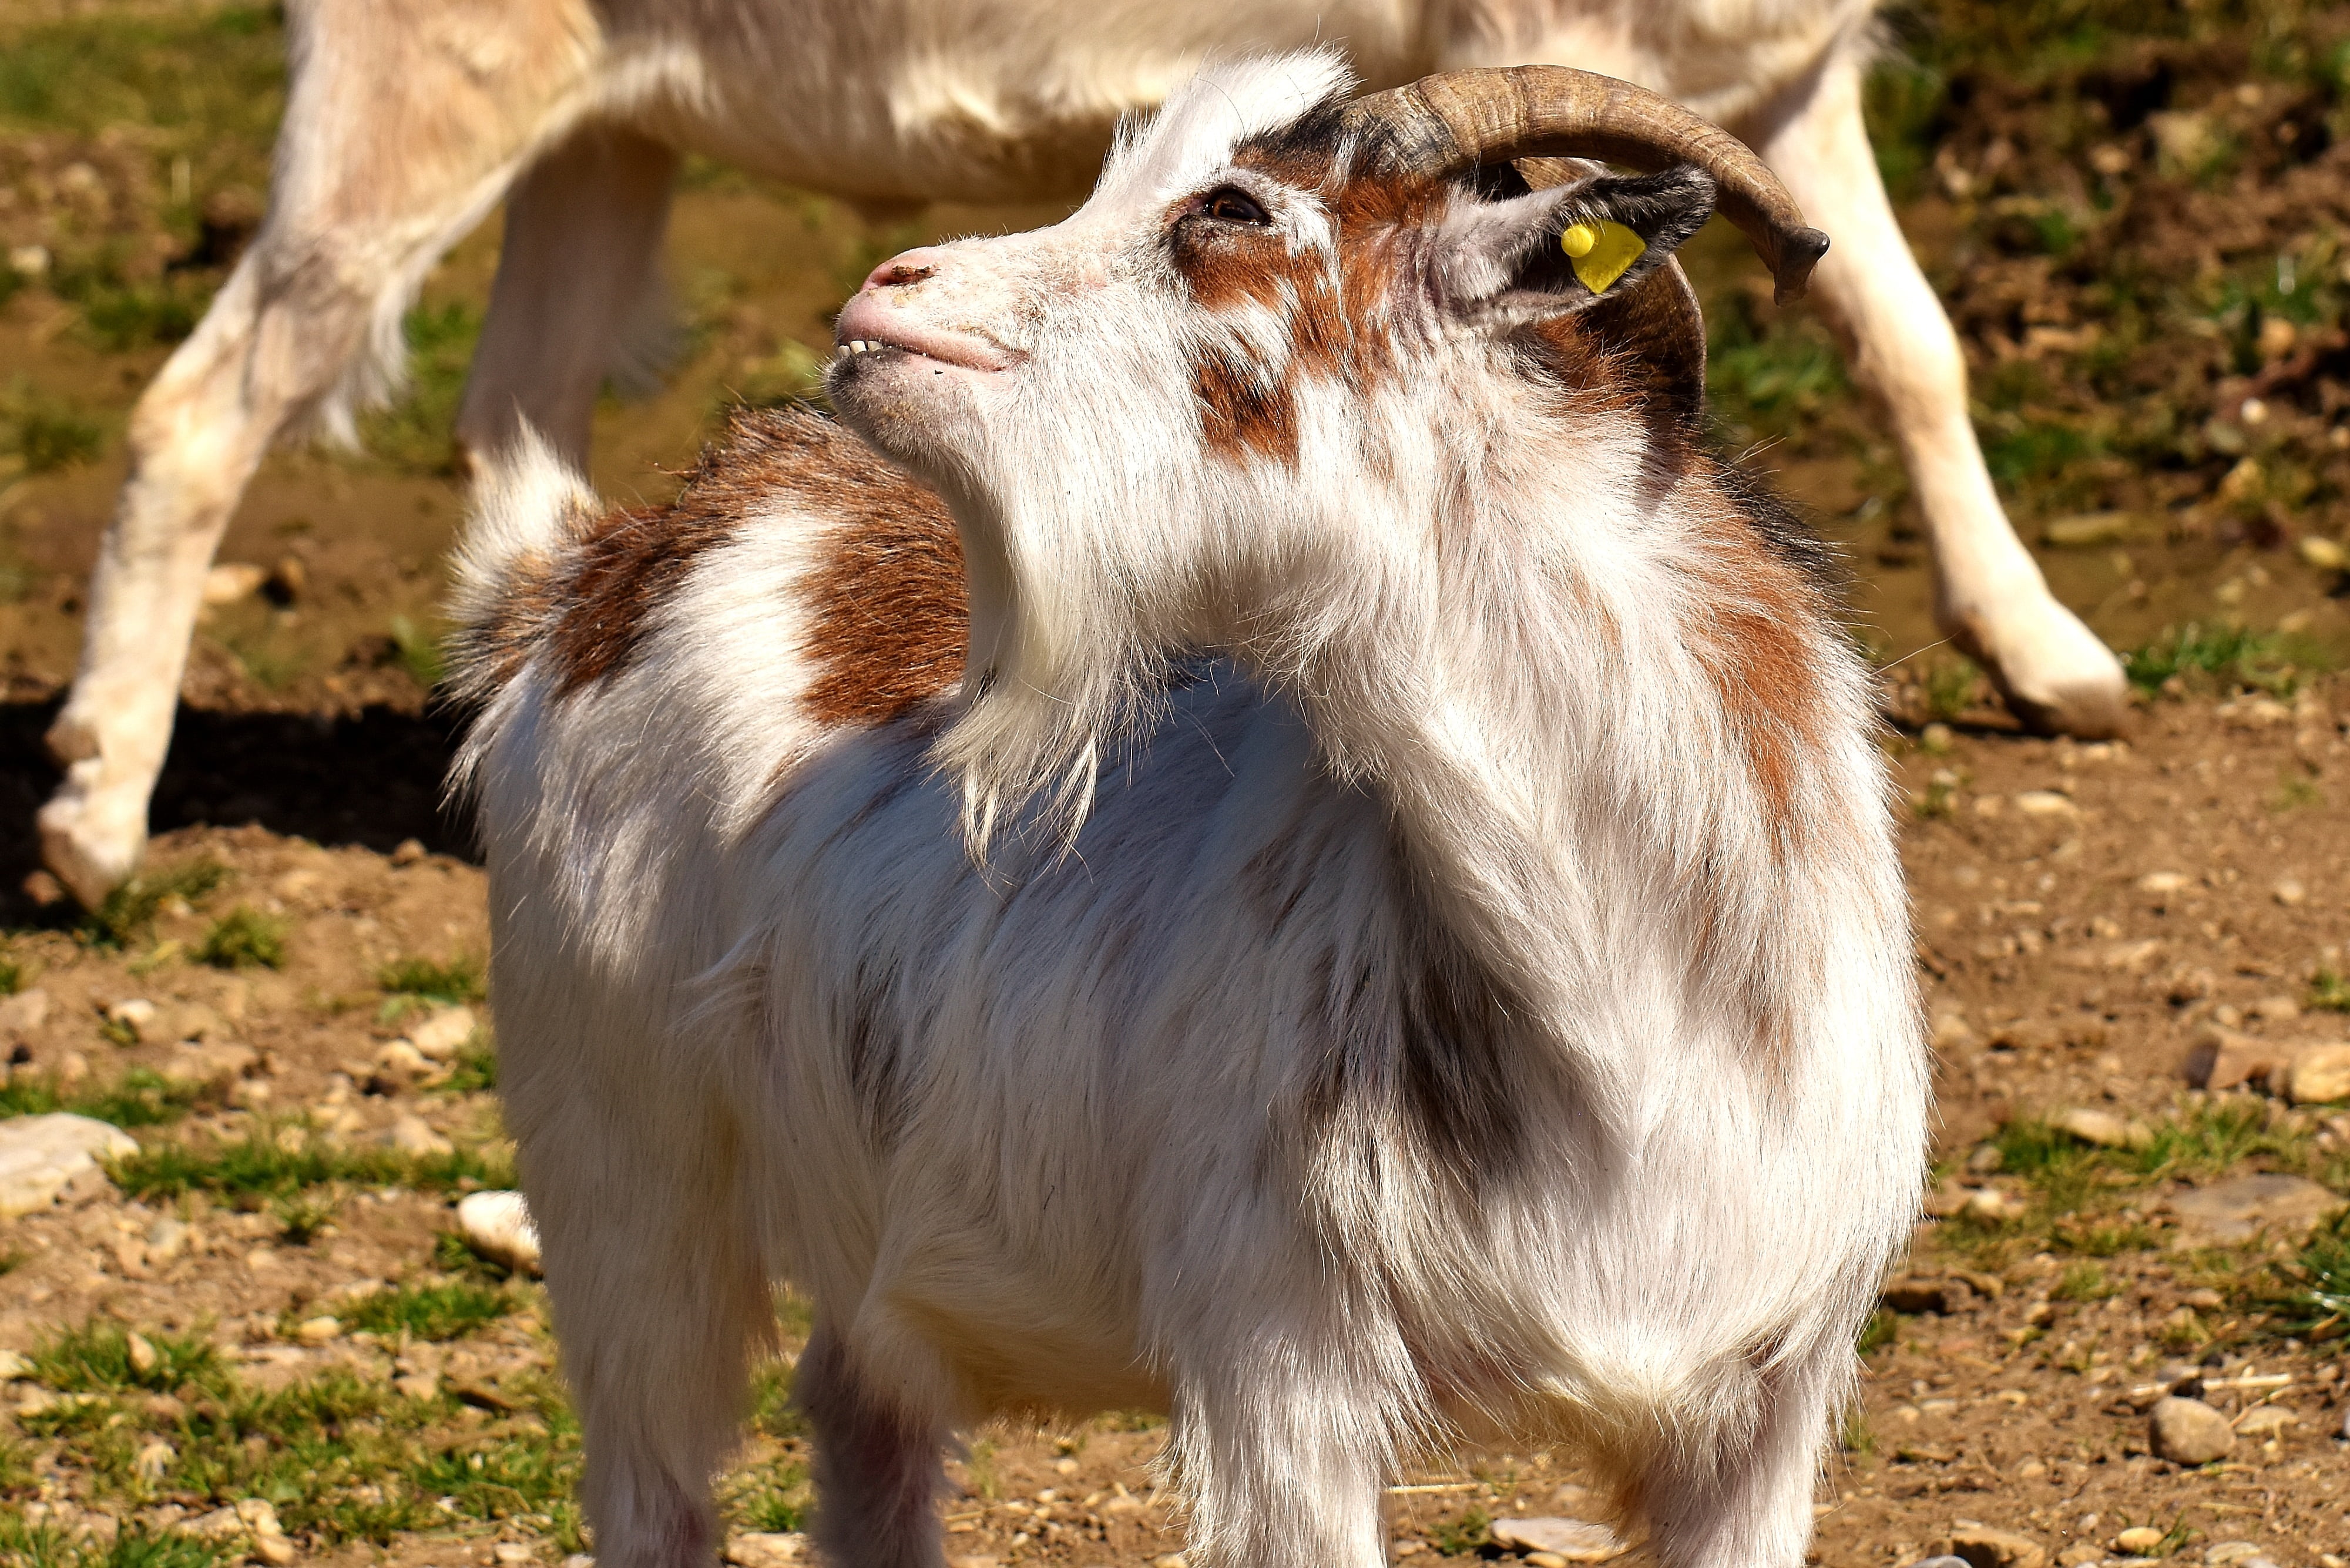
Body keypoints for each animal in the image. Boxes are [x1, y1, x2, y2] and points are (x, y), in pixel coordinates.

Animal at [35, 0, 2128, 910]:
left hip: (602, 134)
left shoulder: (1779, 85)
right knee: (204, 403)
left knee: (521, 428)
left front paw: (2055, 663)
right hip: (416, 91)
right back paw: (91, 825)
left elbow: (1913, 342)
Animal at [448, 53, 1928, 1568]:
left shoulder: (1760, 1420)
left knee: (862, 1412)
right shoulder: (1281, 1379)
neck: (1632, 1015)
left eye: (1229, 206)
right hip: (619, 1170)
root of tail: (594, 566)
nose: (885, 292)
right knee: (653, 1477)